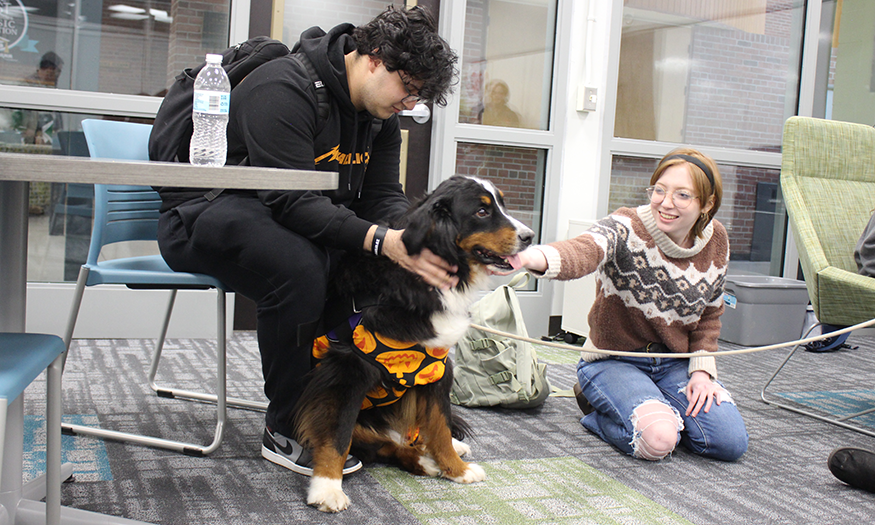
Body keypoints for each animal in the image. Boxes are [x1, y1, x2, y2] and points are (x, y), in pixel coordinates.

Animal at [294, 174, 532, 510]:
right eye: (482, 212)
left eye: (501, 204)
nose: (529, 236)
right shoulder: (349, 367)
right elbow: (338, 434)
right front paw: (327, 487)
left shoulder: (437, 364)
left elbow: (440, 423)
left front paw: (456, 469)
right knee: (381, 444)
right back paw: (423, 461)